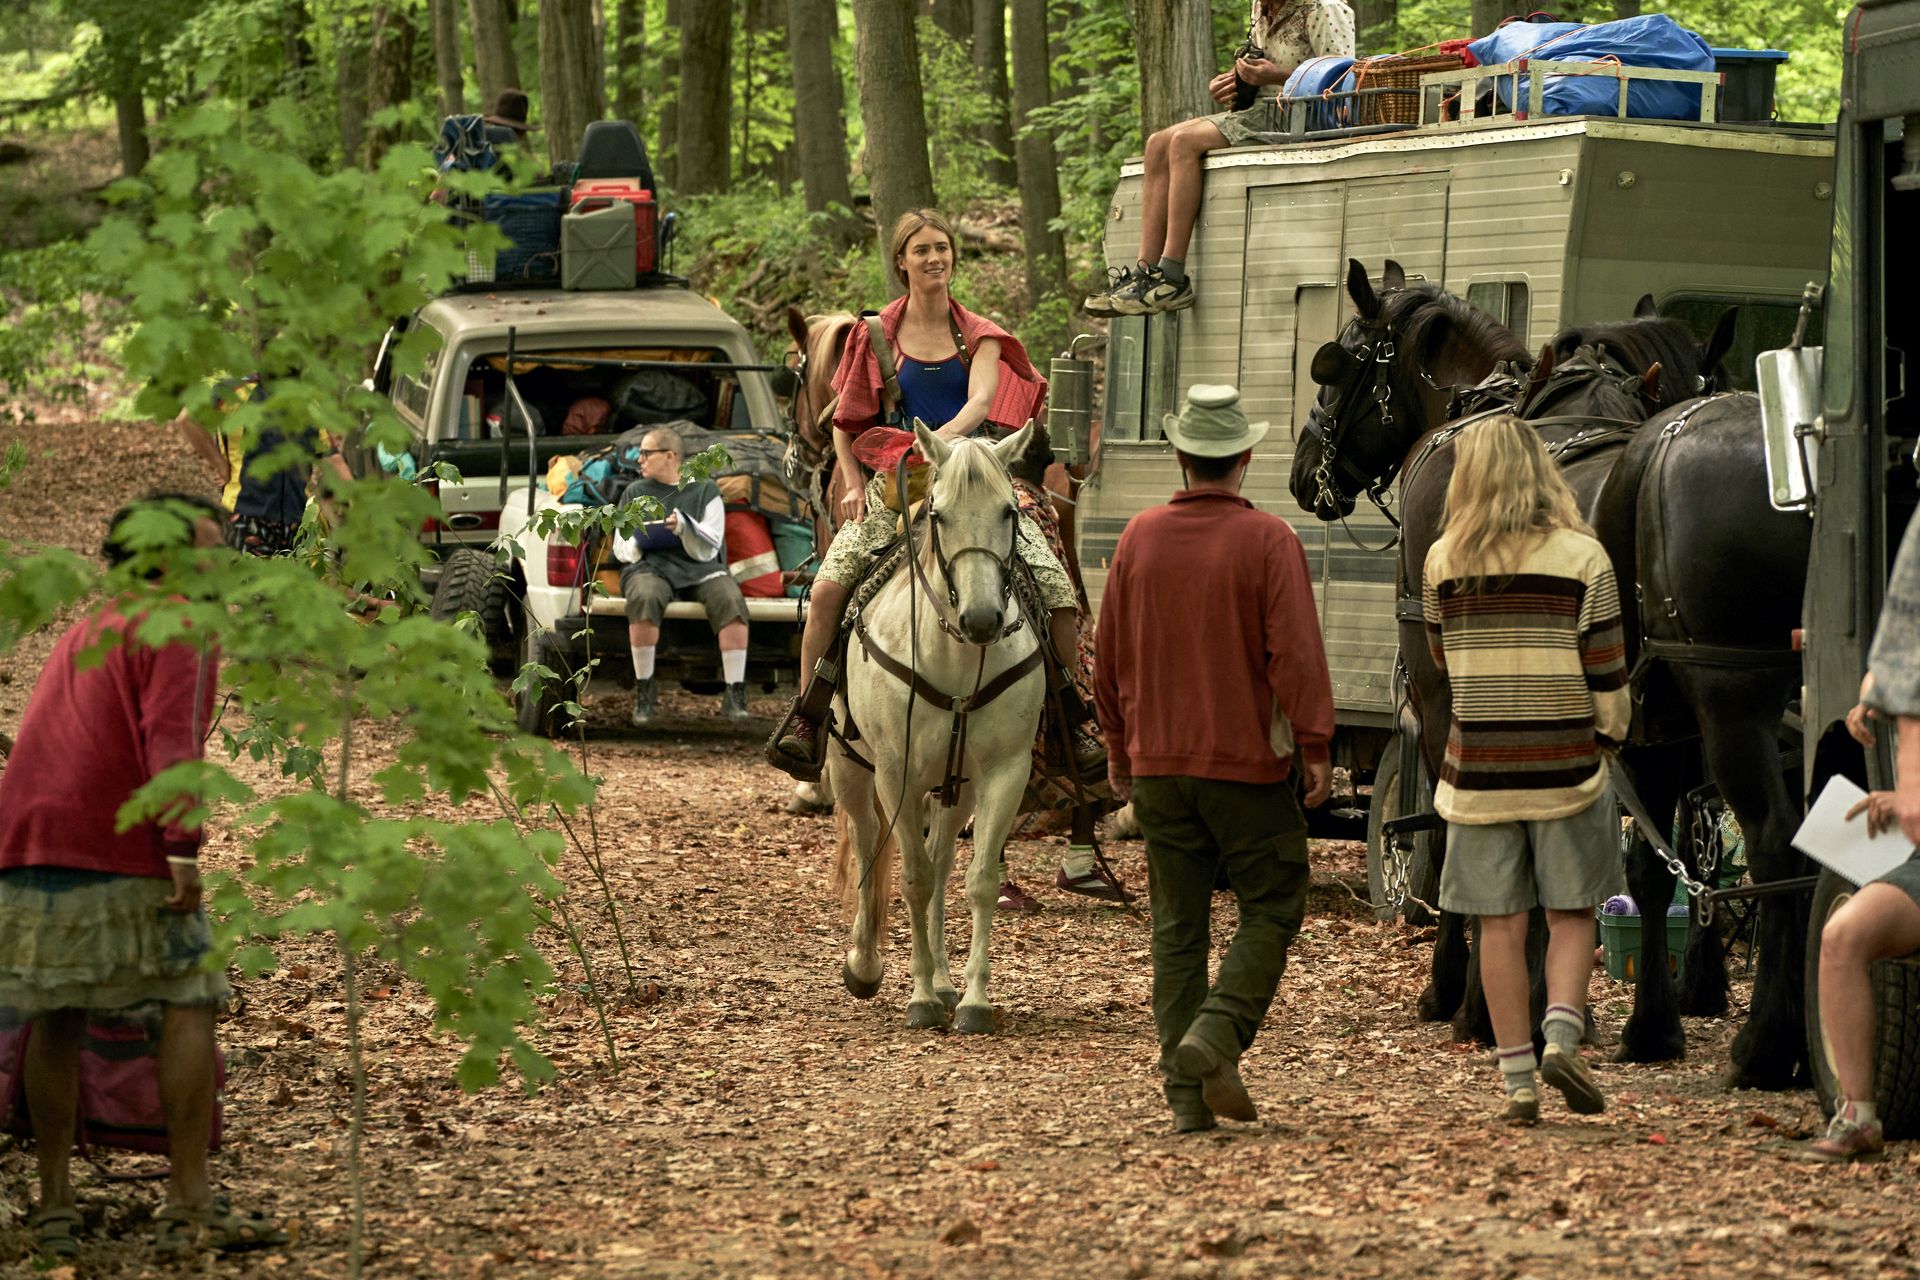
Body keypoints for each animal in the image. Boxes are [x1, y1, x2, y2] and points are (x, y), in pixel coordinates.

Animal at [829, 420, 1052, 1028]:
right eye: (939, 514)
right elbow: (913, 877)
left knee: (945, 859)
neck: (955, 661)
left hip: (959, 788)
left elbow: (977, 880)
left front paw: (971, 999)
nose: (981, 619)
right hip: (848, 767)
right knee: (869, 841)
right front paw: (921, 997)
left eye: (1008, 511)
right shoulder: (896, 773)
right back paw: (865, 964)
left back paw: (947, 981)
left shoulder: (1003, 774)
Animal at [1297, 260, 1804, 1090]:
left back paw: (1767, 1044)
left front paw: (1464, 996)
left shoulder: (1445, 696)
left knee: (1774, 842)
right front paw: (1622, 1020)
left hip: (1734, 708)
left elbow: (1458, 832)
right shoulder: (1641, 729)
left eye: (1336, 363)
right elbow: (1637, 861)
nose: (1304, 470)